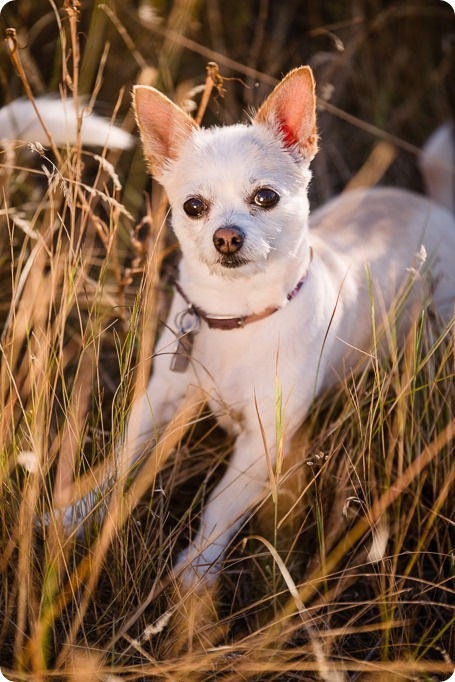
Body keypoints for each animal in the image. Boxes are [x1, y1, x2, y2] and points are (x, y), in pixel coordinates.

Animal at [124, 66, 455, 588]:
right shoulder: (159, 402)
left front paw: (193, 580)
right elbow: (117, 469)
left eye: (266, 197)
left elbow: (219, 510)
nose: (226, 237)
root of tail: (437, 207)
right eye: (193, 206)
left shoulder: (261, 444)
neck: (238, 318)